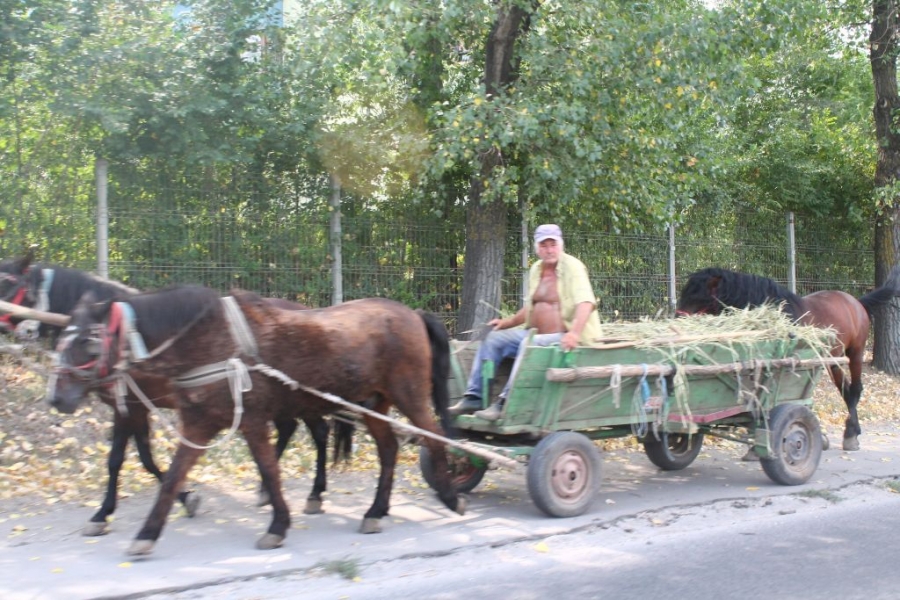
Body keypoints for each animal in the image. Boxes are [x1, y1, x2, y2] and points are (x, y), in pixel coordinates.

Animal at [0, 252, 352, 536]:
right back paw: (267, 490)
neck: (133, 337)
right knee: (290, 429)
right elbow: (130, 458)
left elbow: (132, 458)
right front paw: (116, 510)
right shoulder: (128, 405)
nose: (57, 399)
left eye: (8, 282)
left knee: (320, 433)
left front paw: (178, 498)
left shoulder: (132, 405)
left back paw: (314, 494)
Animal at [45, 284, 460, 556]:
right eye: (64, 338)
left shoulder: (250, 421)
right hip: (371, 402)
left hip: (408, 396)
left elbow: (268, 468)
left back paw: (450, 495)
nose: (56, 397)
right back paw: (376, 511)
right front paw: (149, 531)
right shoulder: (195, 422)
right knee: (388, 449)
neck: (208, 340)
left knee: (434, 435)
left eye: (88, 340)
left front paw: (276, 525)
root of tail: (413, 314)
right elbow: (169, 473)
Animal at [676, 268, 900, 450]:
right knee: (846, 391)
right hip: (833, 362)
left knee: (854, 390)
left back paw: (851, 435)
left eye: (698, 295)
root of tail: (856, 302)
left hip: (855, 353)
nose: (677, 318)